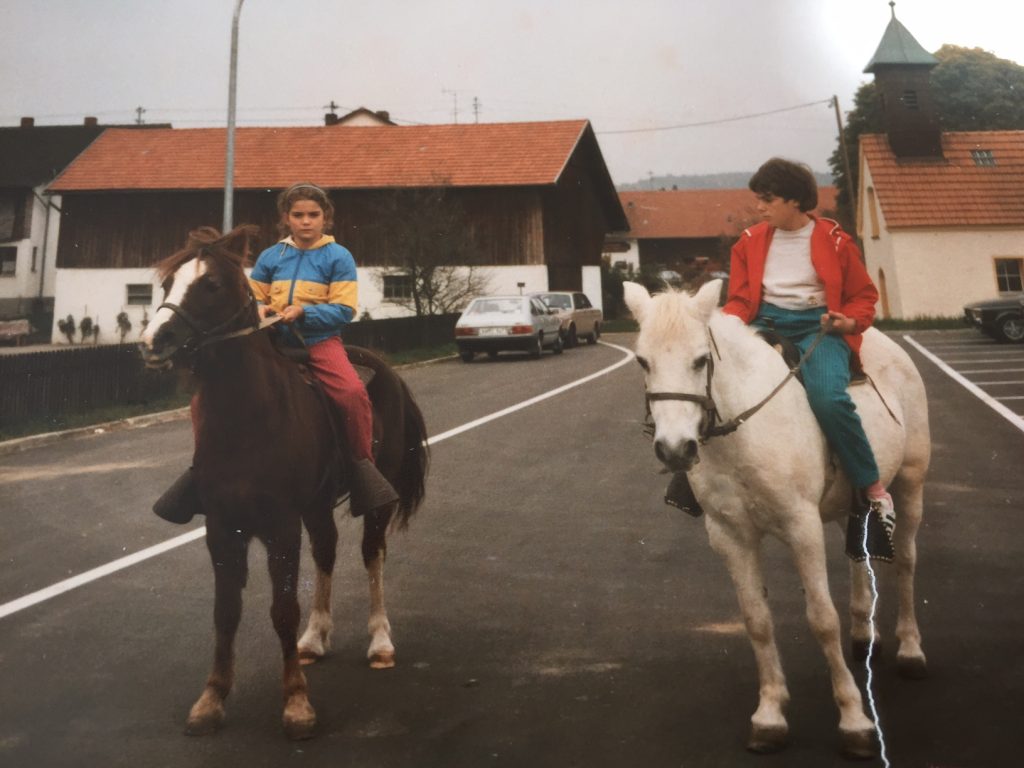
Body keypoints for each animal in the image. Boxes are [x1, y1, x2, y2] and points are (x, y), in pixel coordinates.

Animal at [141, 227, 428, 741]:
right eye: (169, 281)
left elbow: (282, 609)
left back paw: (380, 641)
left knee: (372, 555)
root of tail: (387, 370)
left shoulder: (280, 526)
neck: (246, 419)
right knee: (327, 552)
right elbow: (226, 612)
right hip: (315, 507)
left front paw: (296, 703)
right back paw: (315, 638)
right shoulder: (222, 527)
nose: (155, 340)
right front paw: (212, 699)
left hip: (372, 503)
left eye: (211, 284)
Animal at [618, 280, 933, 761]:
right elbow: (756, 620)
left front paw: (854, 720)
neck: (745, 432)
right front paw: (769, 715)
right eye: (642, 361)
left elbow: (822, 619)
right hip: (848, 504)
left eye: (700, 359)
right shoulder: (730, 535)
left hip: (911, 482)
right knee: (857, 555)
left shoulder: (801, 527)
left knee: (907, 561)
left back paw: (911, 650)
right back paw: (864, 635)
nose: (674, 449)